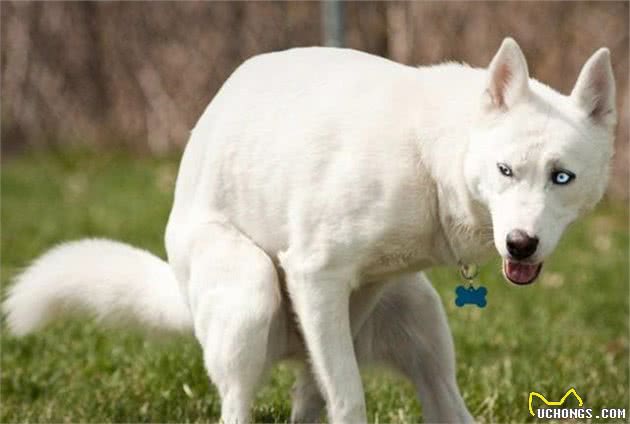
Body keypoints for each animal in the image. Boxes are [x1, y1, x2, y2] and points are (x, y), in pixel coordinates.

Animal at [3, 38, 616, 422]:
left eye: (562, 177)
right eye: (505, 171)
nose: (521, 245)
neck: (429, 155)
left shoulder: (355, 292)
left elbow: (324, 391)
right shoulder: (313, 276)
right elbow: (347, 399)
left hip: (420, 319)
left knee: (438, 404)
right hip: (251, 293)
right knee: (237, 404)